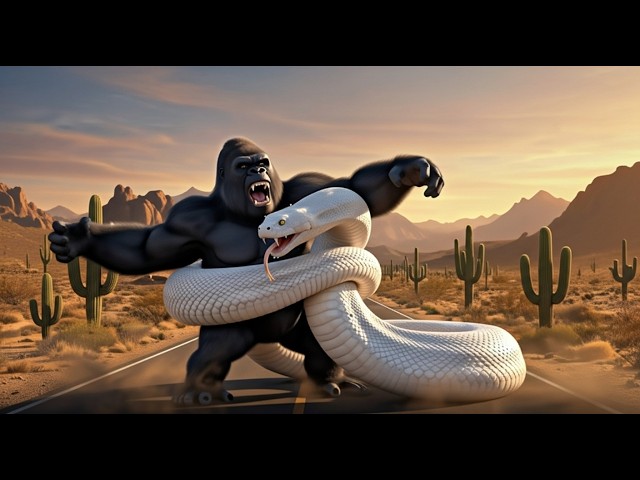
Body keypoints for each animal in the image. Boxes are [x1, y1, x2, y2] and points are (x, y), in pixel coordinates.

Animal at [49, 137, 444, 404]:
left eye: (262, 162)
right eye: (243, 166)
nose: (258, 171)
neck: (243, 212)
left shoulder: (312, 185)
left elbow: (360, 188)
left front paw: (411, 168)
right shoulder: (182, 220)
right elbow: (147, 248)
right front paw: (78, 238)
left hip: (303, 328)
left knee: (318, 350)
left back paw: (331, 381)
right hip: (234, 331)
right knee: (214, 351)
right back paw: (200, 391)